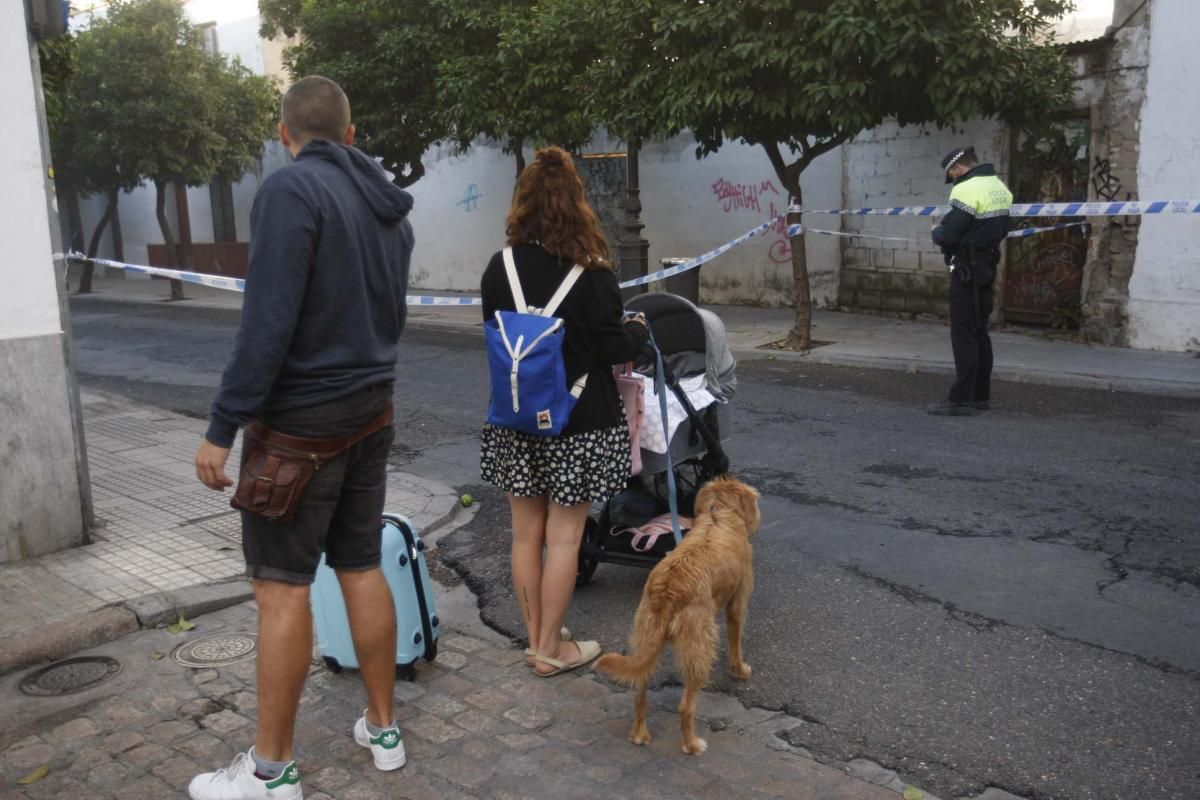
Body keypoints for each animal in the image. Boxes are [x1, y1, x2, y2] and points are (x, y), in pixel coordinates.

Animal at [597, 474, 758, 758]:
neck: (717, 516)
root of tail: (668, 591)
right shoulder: (738, 601)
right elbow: (736, 640)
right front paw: (739, 670)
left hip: (645, 636)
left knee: (639, 690)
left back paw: (639, 734)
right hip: (699, 644)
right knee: (686, 705)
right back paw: (691, 744)